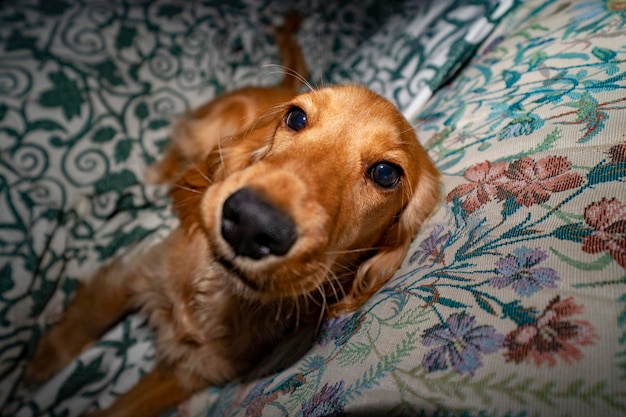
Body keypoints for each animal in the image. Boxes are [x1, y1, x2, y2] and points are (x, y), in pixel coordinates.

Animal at [25, 13, 438, 416]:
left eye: (385, 173)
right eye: (296, 118)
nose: (252, 223)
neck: (218, 294)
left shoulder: (191, 371)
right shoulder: (141, 268)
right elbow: (90, 318)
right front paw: (42, 362)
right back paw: (161, 173)